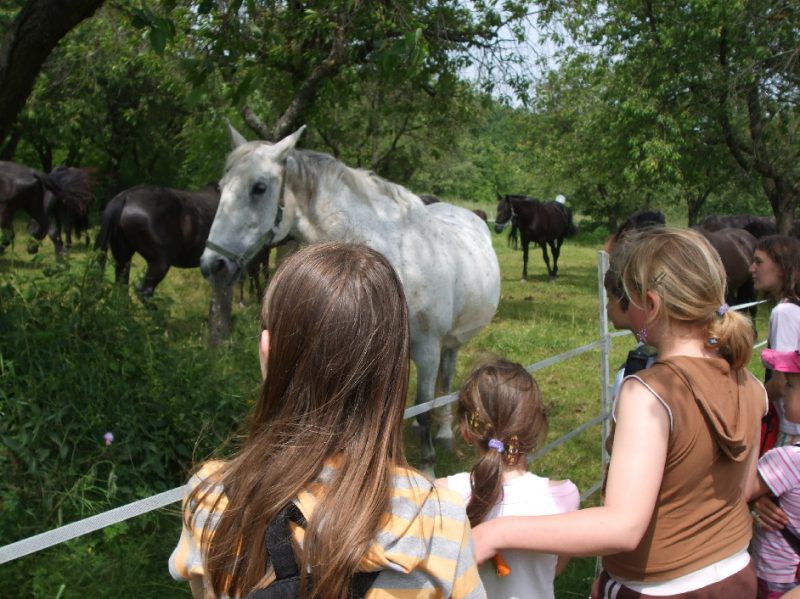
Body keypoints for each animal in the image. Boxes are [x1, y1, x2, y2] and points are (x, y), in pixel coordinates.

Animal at [199, 125, 500, 469]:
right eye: (222, 187)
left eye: (259, 188)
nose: (213, 264)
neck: (395, 257)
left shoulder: (426, 350)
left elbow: (424, 410)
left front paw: (428, 468)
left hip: (449, 342)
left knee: (447, 379)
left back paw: (445, 434)